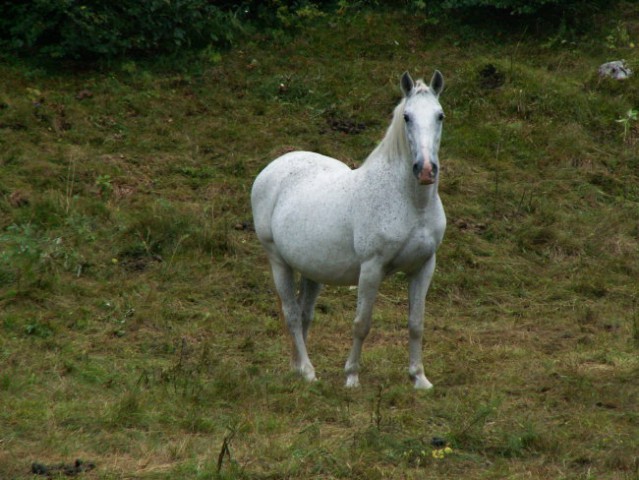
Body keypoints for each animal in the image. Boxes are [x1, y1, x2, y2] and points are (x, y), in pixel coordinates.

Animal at [252, 69, 448, 388]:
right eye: (407, 117)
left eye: (439, 115)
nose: (426, 170)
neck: (410, 203)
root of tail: (273, 168)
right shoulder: (371, 269)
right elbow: (361, 324)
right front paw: (352, 377)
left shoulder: (424, 267)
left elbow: (416, 323)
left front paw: (419, 378)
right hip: (278, 261)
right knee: (291, 314)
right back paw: (309, 371)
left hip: (311, 269)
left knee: (304, 315)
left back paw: (297, 367)